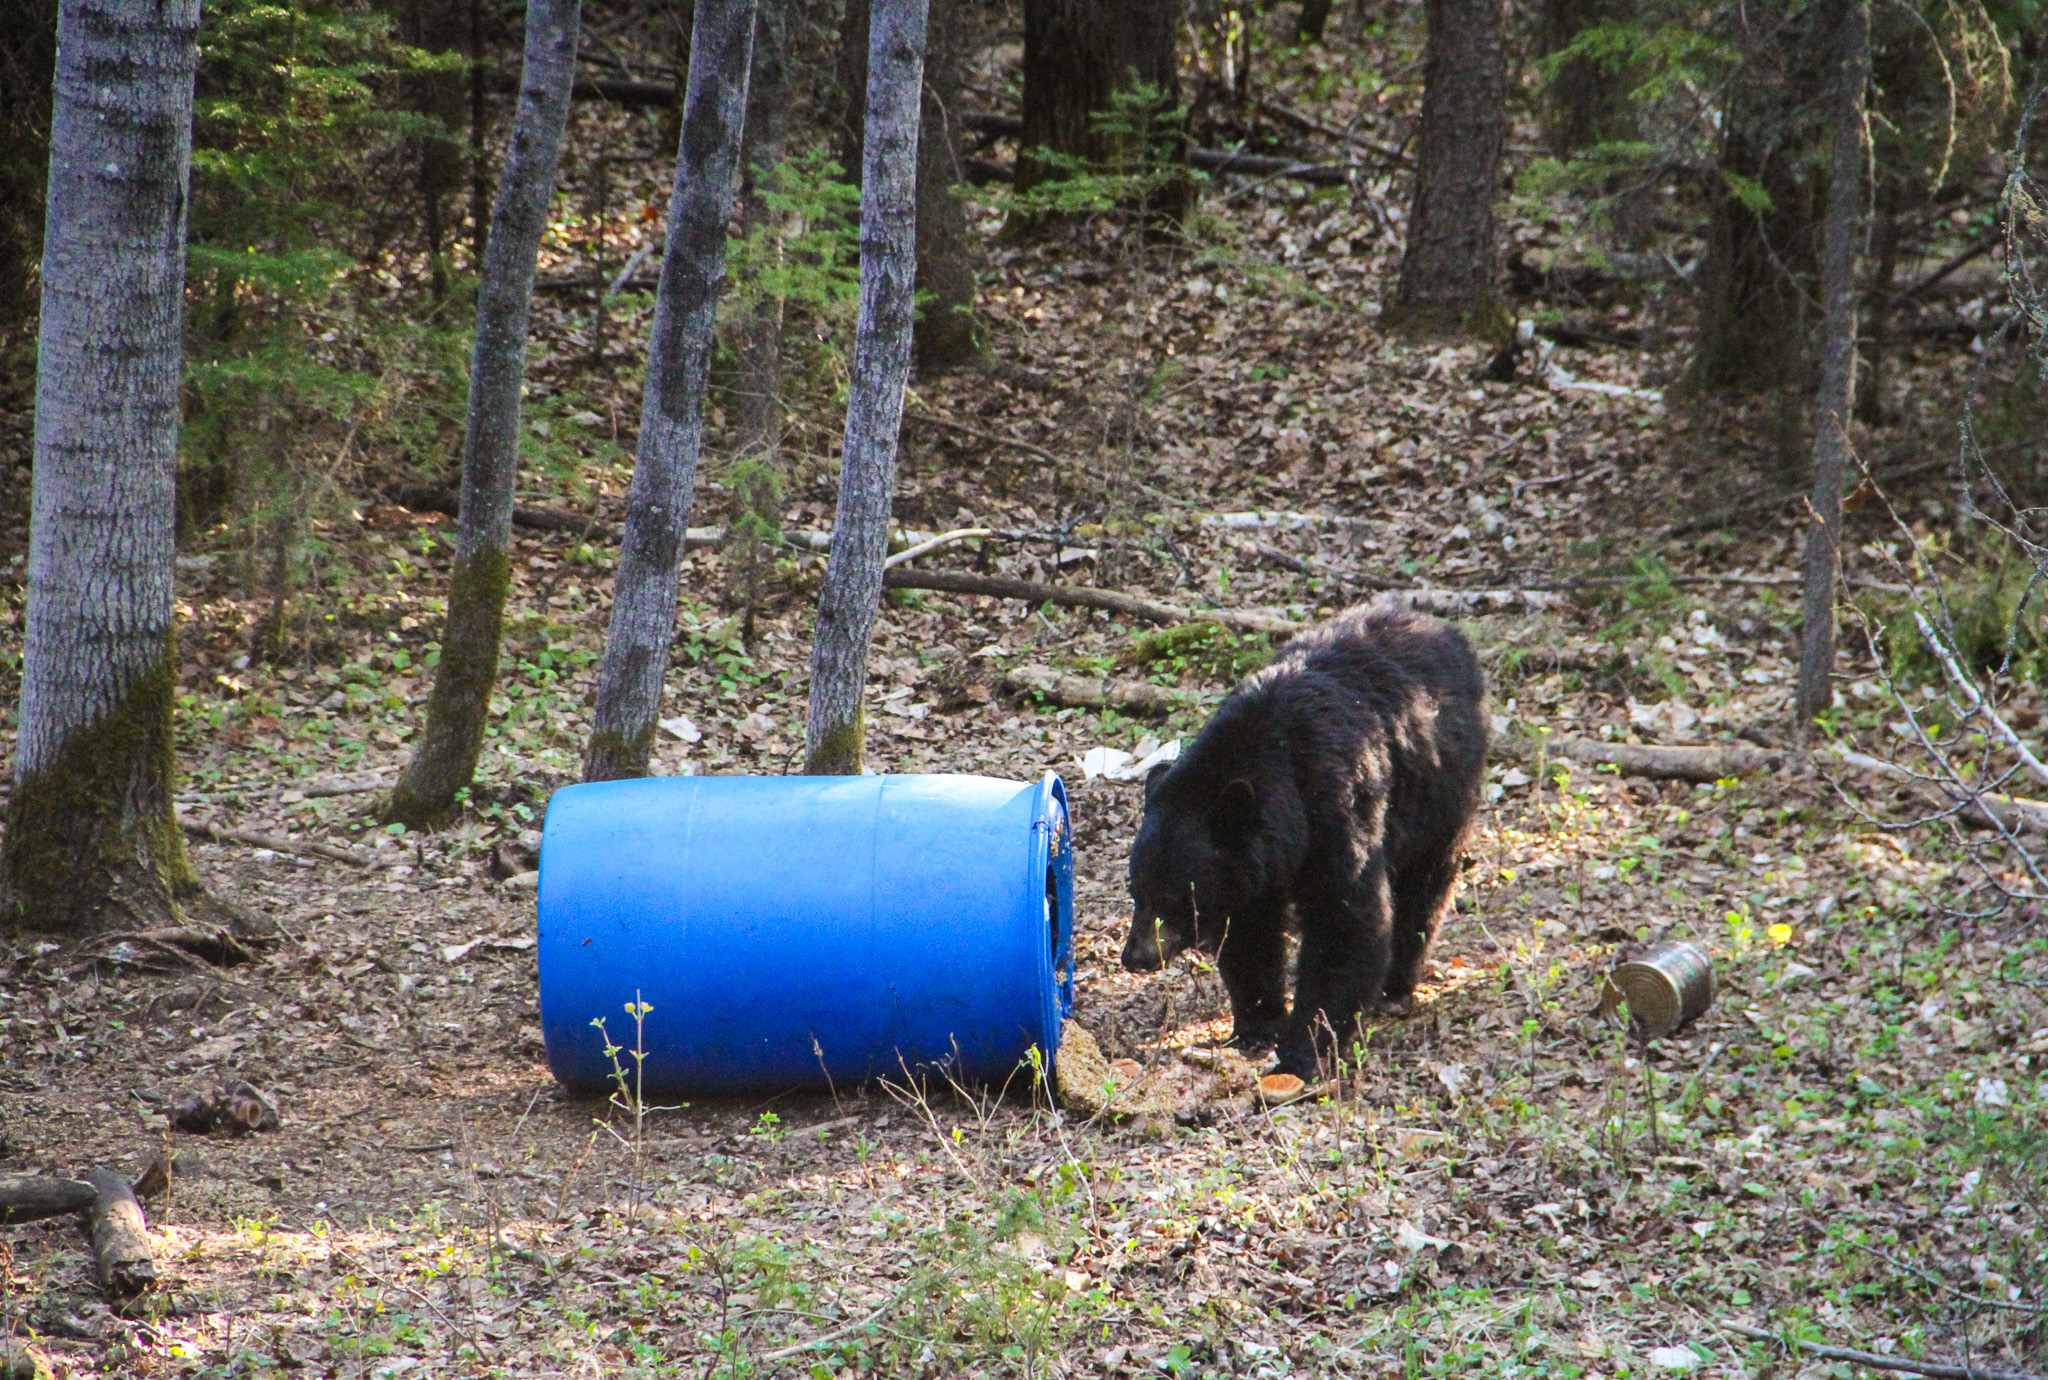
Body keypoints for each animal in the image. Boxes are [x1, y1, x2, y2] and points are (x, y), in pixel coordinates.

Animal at [1122, 597, 1490, 1072]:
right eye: (1135, 890)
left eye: (1175, 899)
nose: (1136, 957)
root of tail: (1441, 628)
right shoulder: (1250, 865)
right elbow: (1250, 934)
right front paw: (1257, 1025)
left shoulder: (1336, 810)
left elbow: (1345, 920)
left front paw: (1302, 1052)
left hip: (1444, 790)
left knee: (1424, 886)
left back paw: (1395, 988)